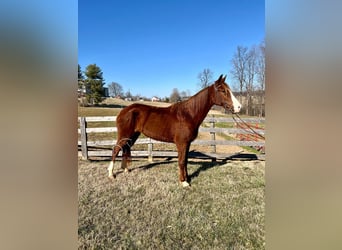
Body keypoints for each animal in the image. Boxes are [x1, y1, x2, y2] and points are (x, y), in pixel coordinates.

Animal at [108, 73, 242, 186]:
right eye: (223, 90)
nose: (239, 107)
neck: (188, 114)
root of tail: (124, 111)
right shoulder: (181, 143)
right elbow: (181, 161)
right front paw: (184, 182)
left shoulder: (187, 143)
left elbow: (185, 161)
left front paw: (187, 178)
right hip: (124, 135)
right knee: (116, 150)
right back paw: (111, 174)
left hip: (133, 135)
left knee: (125, 149)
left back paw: (126, 170)